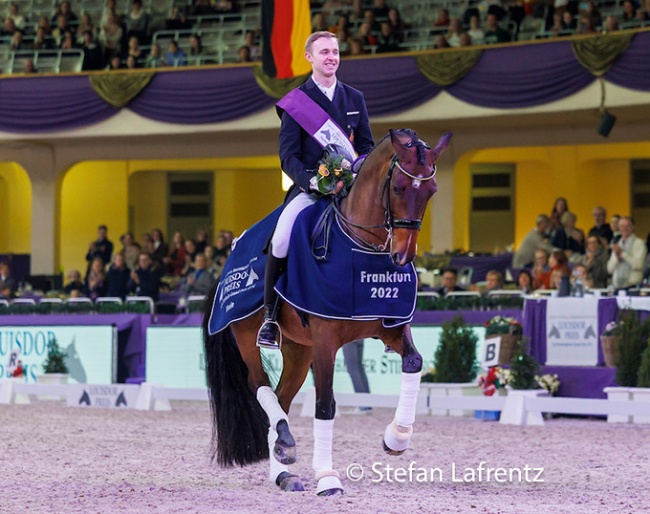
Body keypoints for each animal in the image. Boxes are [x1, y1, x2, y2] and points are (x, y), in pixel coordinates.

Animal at [202, 127, 450, 492]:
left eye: (431, 191)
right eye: (399, 188)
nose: (402, 256)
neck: (361, 248)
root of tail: (230, 255)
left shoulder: (389, 329)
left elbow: (414, 362)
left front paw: (396, 437)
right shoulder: (325, 341)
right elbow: (325, 405)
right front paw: (327, 477)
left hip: (298, 349)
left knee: (282, 397)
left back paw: (284, 468)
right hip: (248, 333)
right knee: (260, 385)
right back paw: (285, 445)